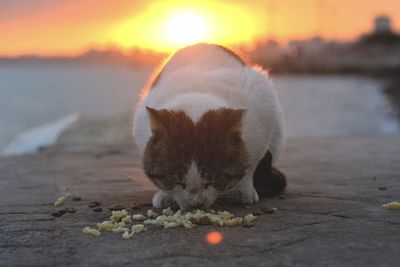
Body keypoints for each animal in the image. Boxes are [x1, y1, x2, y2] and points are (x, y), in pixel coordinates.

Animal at [133, 43, 286, 211]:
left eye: (212, 181)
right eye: (178, 182)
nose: (196, 203)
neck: (197, 90)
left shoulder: (263, 114)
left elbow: (250, 166)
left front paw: (242, 191)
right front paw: (165, 195)